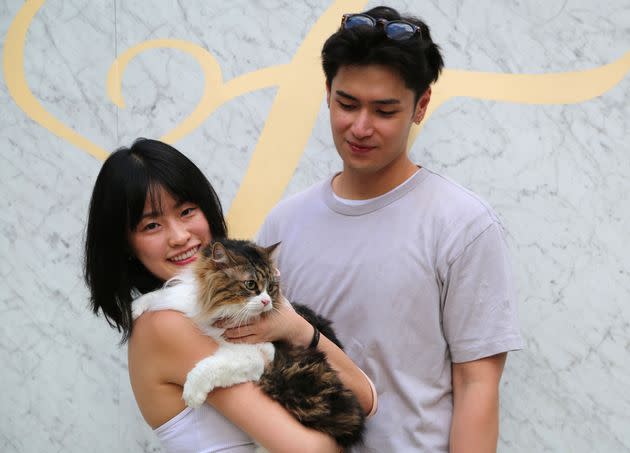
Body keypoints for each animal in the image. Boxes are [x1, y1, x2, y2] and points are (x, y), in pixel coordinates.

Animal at [133, 238, 366, 446]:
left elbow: (210, 367)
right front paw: (135, 308)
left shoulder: (258, 355)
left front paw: (192, 393)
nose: (266, 301)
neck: (220, 311)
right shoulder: (188, 301)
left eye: (271, 287)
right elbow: (163, 293)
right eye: (250, 284)